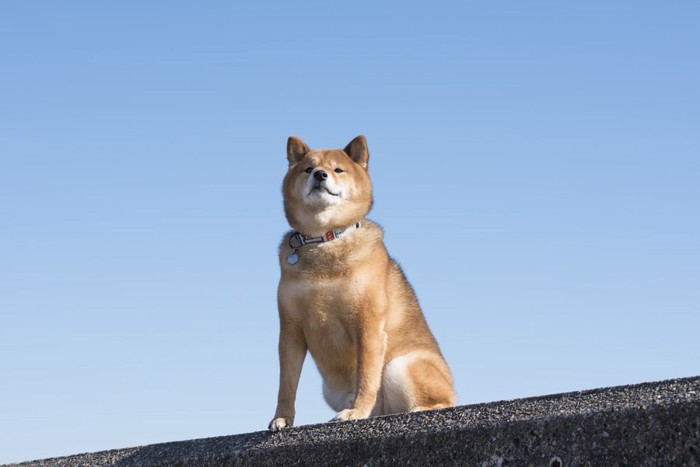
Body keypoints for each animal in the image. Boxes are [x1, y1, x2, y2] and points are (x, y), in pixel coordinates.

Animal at [268, 135, 454, 432]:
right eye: (308, 169)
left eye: (337, 169)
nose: (320, 175)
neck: (324, 240)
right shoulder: (290, 330)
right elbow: (286, 384)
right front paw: (282, 418)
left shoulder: (367, 322)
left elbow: (366, 376)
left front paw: (356, 412)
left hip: (400, 365)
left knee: (441, 402)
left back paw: (416, 410)